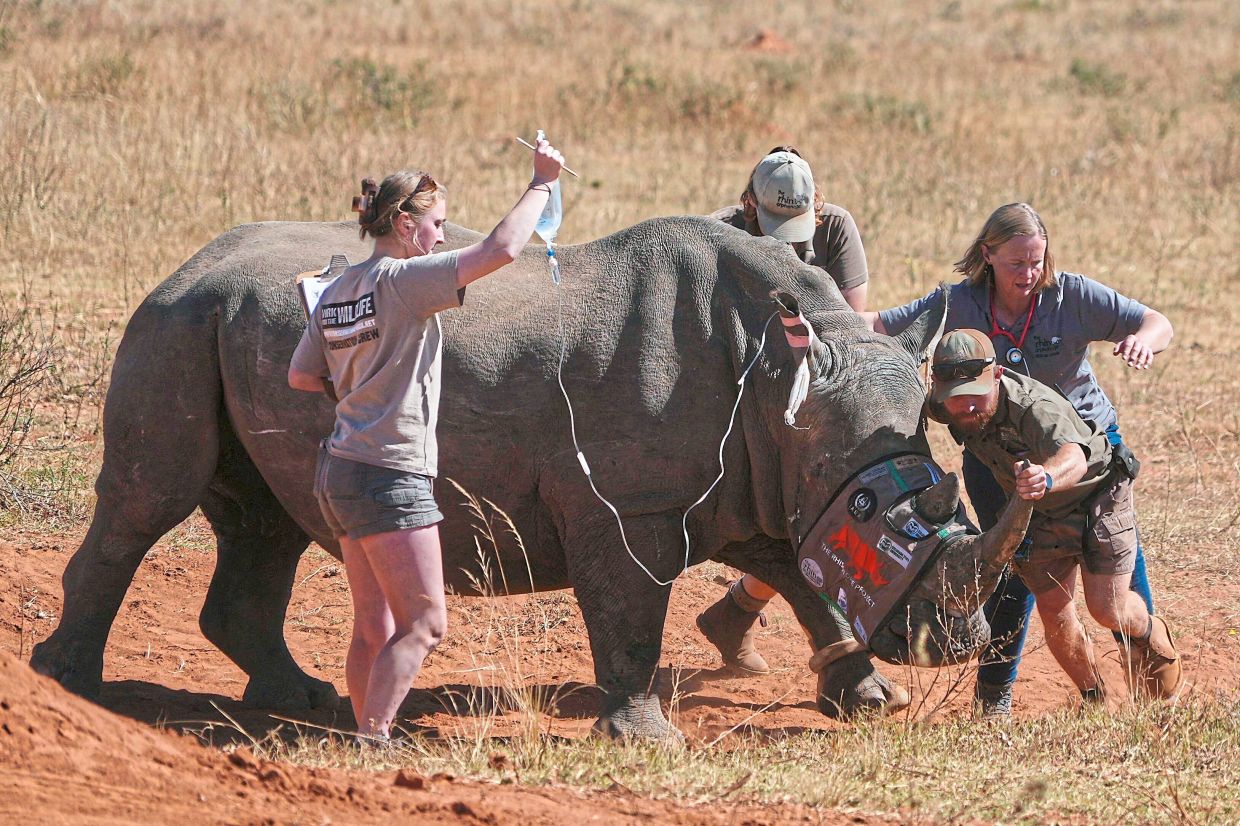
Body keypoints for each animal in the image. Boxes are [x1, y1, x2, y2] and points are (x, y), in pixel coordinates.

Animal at [31, 215, 1032, 739]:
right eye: (874, 508)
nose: (954, 644)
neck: (782, 378)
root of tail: (185, 262)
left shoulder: (769, 480)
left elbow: (809, 578)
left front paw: (867, 700)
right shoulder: (633, 505)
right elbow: (631, 611)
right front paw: (646, 740)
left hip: (227, 326)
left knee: (265, 520)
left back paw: (300, 702)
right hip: (174, 322)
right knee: (148, 500)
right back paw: (69, 686)